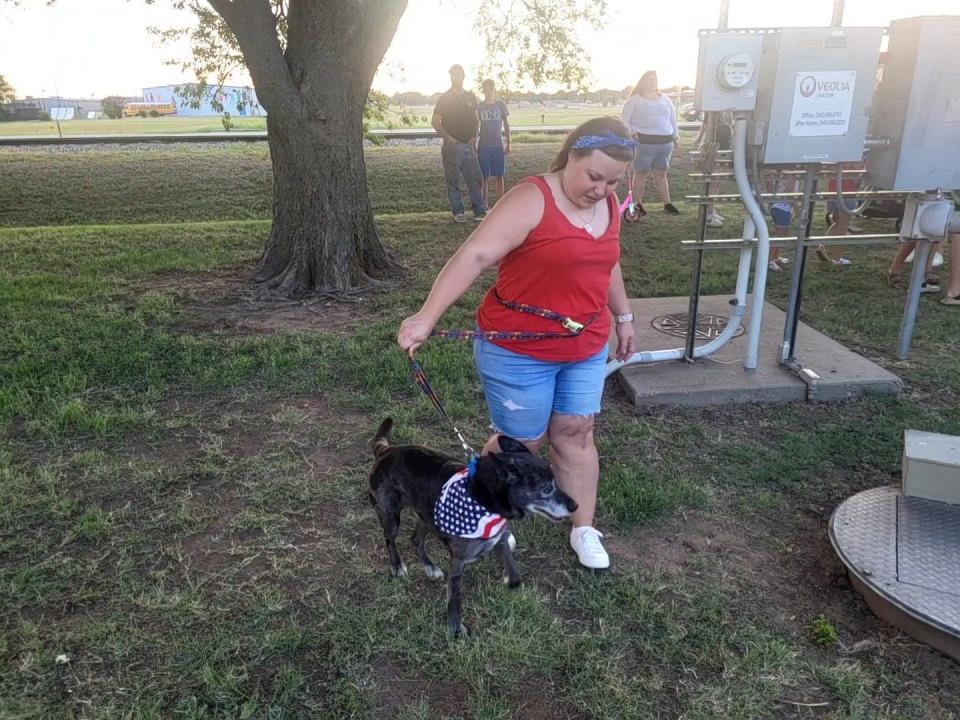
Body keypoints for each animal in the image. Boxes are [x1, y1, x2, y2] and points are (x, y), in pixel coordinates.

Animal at [368, 420, 576, 640]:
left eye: (556, 482)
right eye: (546, 489)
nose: (575, 506)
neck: (484, 497)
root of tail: (385, 450)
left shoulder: (500, 540)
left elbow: (515, 577)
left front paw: (507, 580)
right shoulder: (457, 563)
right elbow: (454, 602)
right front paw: (455, 629)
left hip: (427, 516)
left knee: (415, 539)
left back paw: (430, 567)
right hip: (391, 516)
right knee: (390, 540)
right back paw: (397, 566)